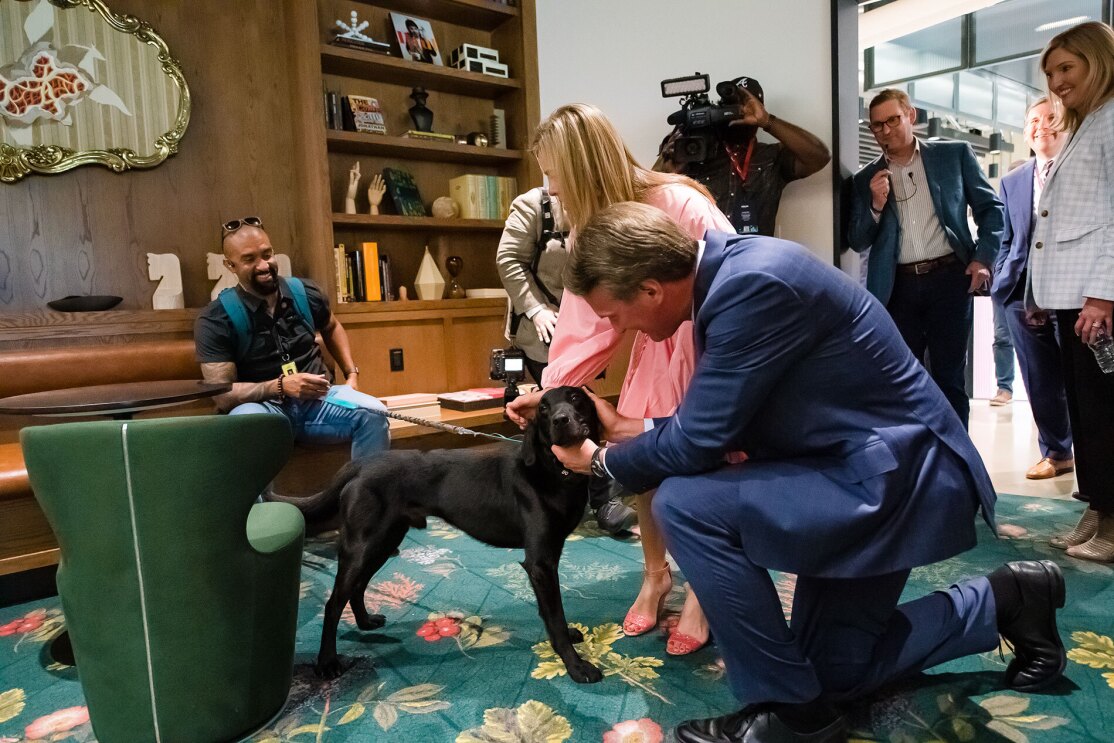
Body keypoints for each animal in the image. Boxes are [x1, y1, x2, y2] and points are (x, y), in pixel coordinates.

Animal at [278, 389, 610, 686]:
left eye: (576, 398)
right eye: (542, 408)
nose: (561, 420)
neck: (551, 471)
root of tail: (362, 464)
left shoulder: (551, 555)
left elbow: (552, 613)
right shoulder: (540, 563)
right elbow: (555, 615)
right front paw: (576, 666)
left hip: (384, 542)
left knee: (357, 587)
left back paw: (365, 622)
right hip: (362, 547)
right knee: (334, 602)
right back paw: (327, 663)